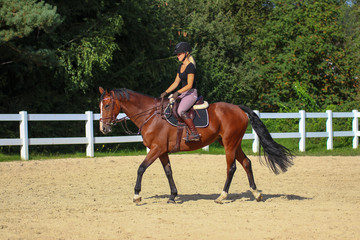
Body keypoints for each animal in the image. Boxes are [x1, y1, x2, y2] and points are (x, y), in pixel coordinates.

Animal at [97, 87, 292, 203]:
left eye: (106, 105)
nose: (103, 128)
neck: (151, 115)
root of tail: (238, 108)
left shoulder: (156, 149)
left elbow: (141, 168)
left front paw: (137, 195)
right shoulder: (162, 151)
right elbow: (168, 172)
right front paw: (173, 196)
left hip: (229, 144)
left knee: (231, 168)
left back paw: (222, 196)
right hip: (233, 144)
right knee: (246, 163)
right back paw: (256, 193)